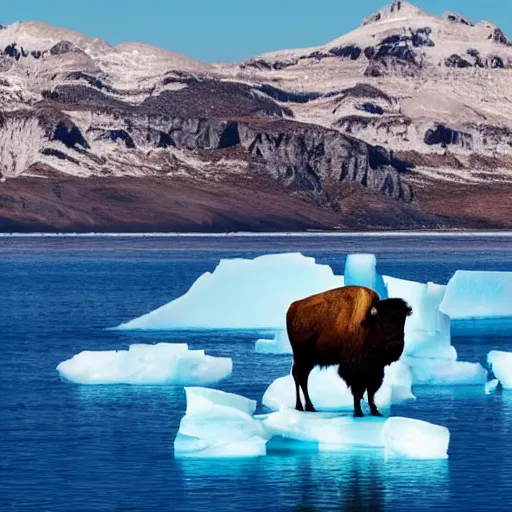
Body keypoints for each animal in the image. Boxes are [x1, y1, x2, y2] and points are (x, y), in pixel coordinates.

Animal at [288, 286, 412, 418]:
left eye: (403, 320)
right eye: (381, 321)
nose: (395, 344)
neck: (369, 323)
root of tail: (291, 308)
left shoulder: (375, 370)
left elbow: (371, 392)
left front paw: (375, 412)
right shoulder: (355, 369)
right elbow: (358, 391)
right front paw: (358, 412)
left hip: (309, 361)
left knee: (303, 378)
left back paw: (310, 407)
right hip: (300, 357)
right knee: (298, 376)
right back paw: (300, 406)